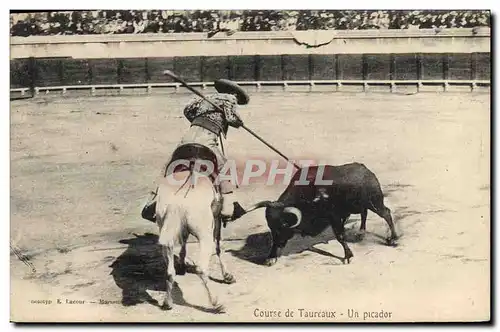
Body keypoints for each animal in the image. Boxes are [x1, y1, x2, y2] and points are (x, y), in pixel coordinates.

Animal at [231, 162, 398, 266]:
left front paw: (348, 256)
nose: (278, 243)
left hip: (375, 202)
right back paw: (361, 232)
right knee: (364, 214)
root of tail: (366, 170)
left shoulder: (334, 217)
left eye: (283, 225)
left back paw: (393, 238)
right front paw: (270, 258)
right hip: (361, 205)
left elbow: (340, 236)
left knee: (386, 214)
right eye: (270, 226)